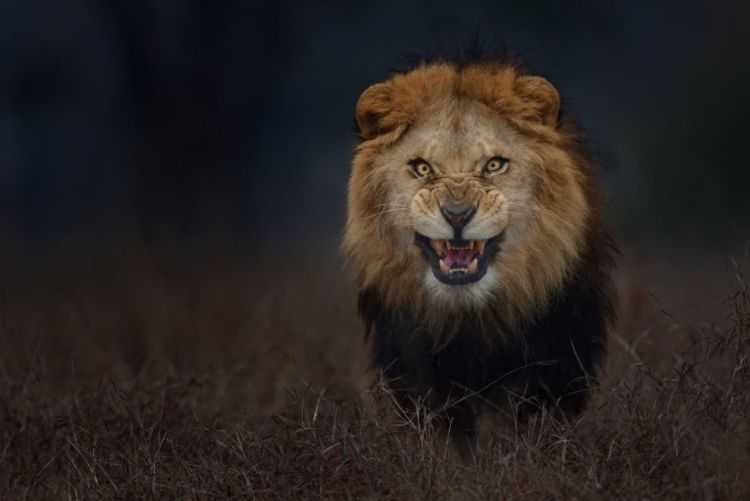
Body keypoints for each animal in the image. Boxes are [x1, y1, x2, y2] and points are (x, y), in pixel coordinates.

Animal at [343, 54, 617, 455]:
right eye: (422, 167)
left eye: (494, 165)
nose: (457, 215)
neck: (470, 315)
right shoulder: (414, 366)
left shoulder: (555, 361)